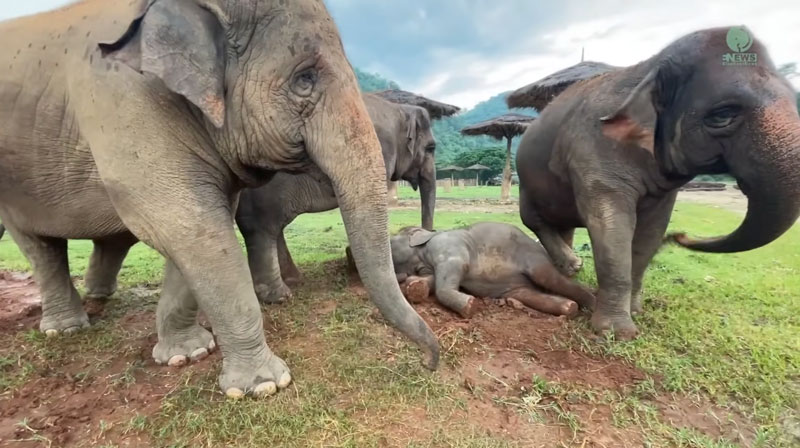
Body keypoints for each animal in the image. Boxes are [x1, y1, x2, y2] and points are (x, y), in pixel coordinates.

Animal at [236, 94, 438, 304]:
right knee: (263, 227)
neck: (398, 109)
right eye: (431, 148)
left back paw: (293, 280)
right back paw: (279, 296)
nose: (427, 232)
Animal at [390, 222, 596, 316]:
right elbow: (435, 277)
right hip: (517, 288)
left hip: (534, 259)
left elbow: (457, 267)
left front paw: (470, 306)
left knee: (548, 277)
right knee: (529, 295)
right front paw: (415, 286)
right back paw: (569, 308)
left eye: (391, 240)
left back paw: (591, 305)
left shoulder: (448, 245)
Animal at [512, 26, 800, 338]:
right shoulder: (592, 153)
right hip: (526, 181)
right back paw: (573, 263)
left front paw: (635, 311)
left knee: (562, 225)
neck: (649, 67)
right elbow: (612, 227)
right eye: (723, 115)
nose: (680, 236)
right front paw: (616, 333)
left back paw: (567, 268)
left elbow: (651, 231)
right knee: (533, 219)